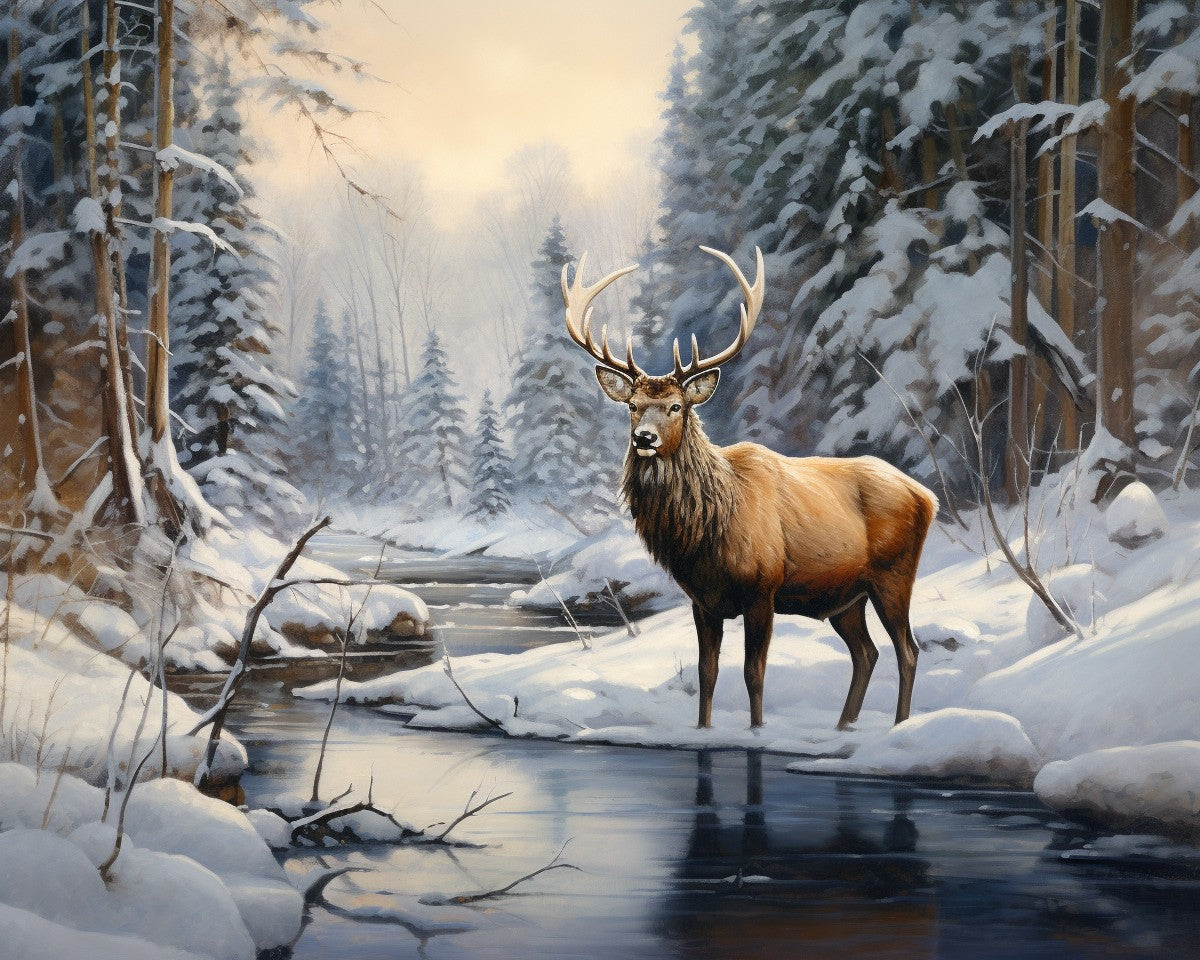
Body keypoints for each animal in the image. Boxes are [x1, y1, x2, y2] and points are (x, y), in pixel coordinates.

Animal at [561, 246, 938, 731]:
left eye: (676, 406)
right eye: (632, 405)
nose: (643, 438)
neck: (705, 529)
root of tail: (927, 497)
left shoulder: (763, 587)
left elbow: (753, 671)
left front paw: (757, 730)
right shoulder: (702, 600)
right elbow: (707, 671)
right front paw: (703, 728)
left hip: (894, 574)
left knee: (907, 649)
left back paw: (898, 724)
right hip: (845, 596)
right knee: (866, 653)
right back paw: (843, 725)